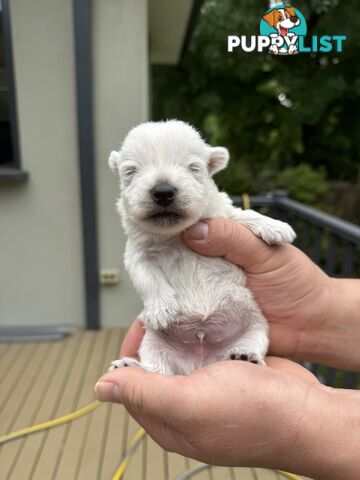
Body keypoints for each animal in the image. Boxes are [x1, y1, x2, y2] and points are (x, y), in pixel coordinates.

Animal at [107, 120, 296, 376]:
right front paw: (160, 311)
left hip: (254, 327)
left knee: (253, 341)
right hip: (154, 343)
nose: (163, 191)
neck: (176, 234)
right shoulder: (137, 250)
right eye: (131, 172)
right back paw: (131, 364)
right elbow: (146, 276)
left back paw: (246, 356)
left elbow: (242, 214)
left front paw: (276, 226)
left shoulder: (221, 214)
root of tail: (200, 360)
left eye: (193, 167)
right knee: (157, 367)